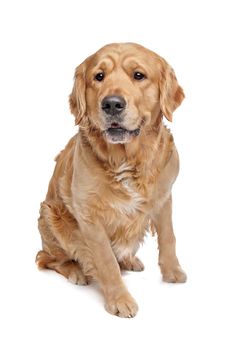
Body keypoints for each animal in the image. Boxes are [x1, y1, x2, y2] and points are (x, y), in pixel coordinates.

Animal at [35, 43, 187, 318]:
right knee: (49, 258)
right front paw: (120, 299)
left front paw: (172, 272)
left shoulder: (164, 198)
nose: (112, 104)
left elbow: (169, 237)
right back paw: (76, 270)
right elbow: (106, 261)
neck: (127, 160)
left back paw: (129, 259)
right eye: (99, 76)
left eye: (138, 75)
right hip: (50, 215)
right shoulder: (90, 216)